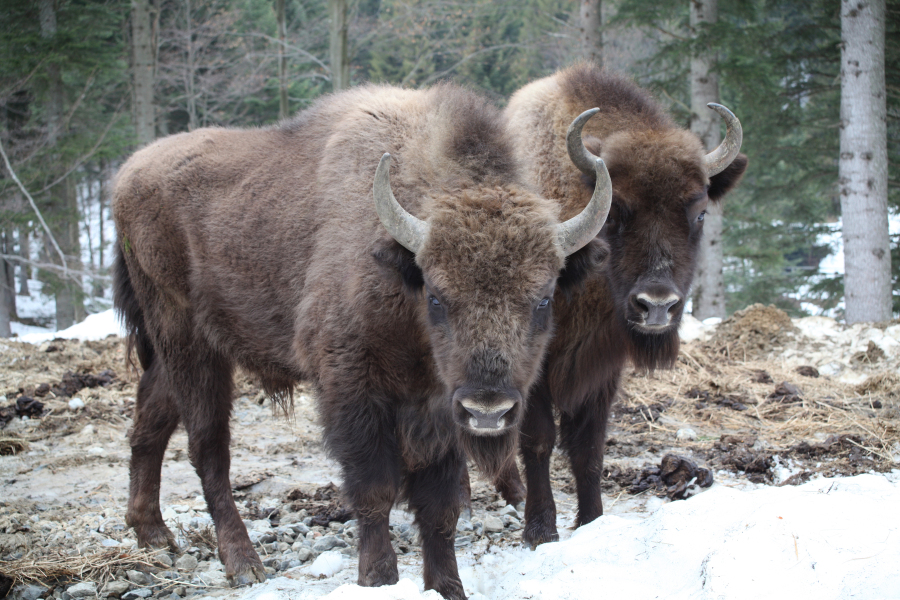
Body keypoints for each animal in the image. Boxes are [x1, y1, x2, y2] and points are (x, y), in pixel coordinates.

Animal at [109, 82, 608, 596]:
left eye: (543, 299)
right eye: (436, 296)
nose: (488, 409)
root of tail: (127, 174)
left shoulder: (438, 409)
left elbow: (440, 506)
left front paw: (447, 586)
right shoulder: (353, 389)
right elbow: (375, 490)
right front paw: (378, 577)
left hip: (171, 352)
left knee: (149, 421)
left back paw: (152, 533)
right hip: (188, 342)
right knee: (208, 449)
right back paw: (243, 562)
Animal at [496, 63, 748, 548]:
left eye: (700, 212)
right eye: (614, 212)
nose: (657, 306)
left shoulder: (602, 368)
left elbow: (589, 448)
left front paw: (592, 521)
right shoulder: (533, 367)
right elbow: (538, 439)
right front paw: (541, 530)